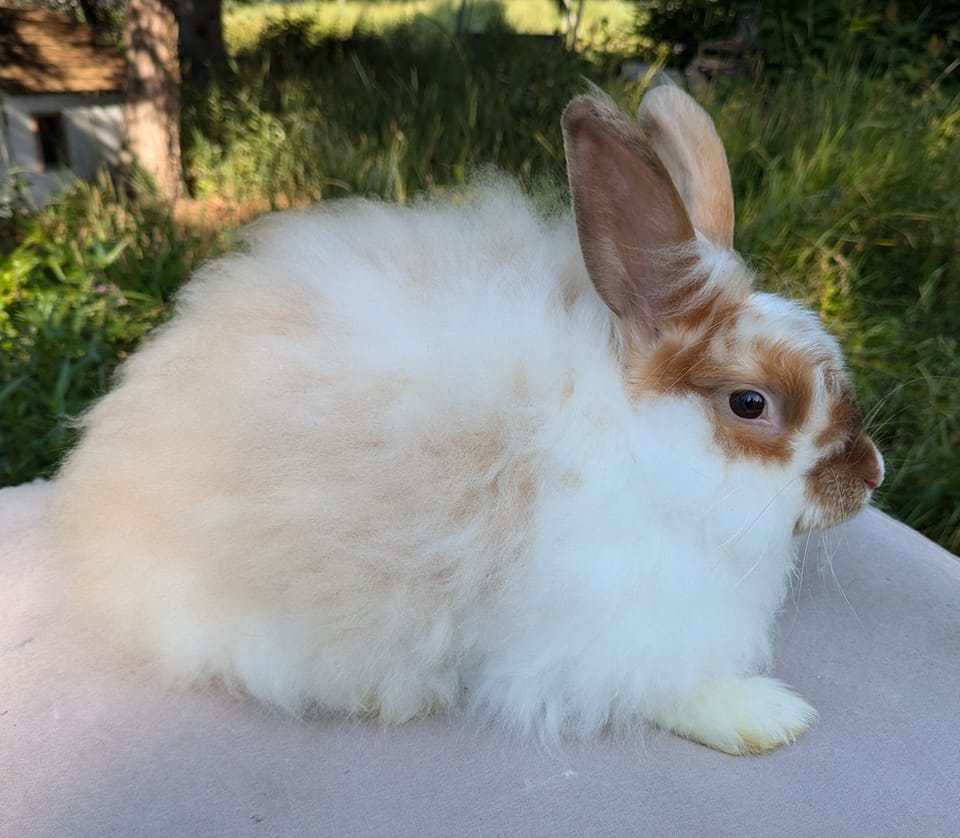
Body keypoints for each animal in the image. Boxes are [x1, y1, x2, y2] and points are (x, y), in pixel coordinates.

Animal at [49, 86, 884, 756]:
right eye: (750, 404)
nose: (870, 476)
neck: (633, 446)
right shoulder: (601, 635)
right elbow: (667, 689)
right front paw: (767, 717)